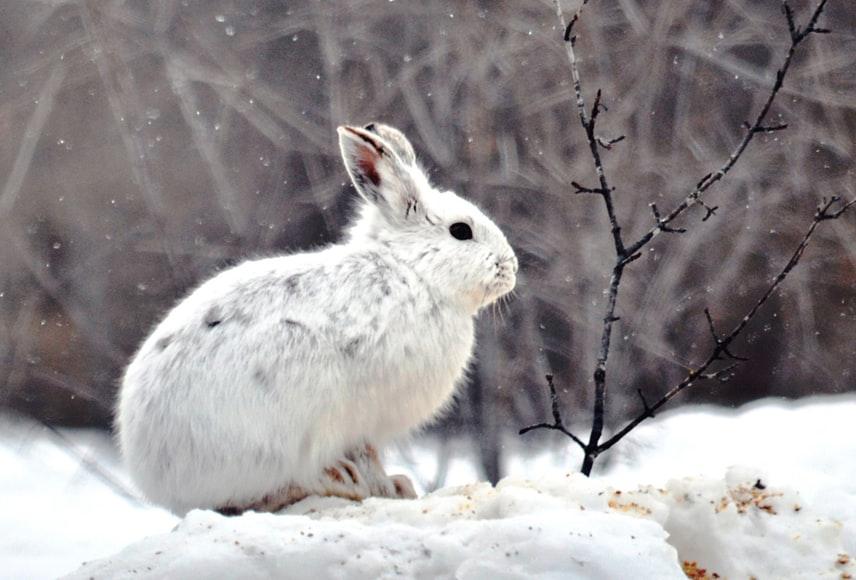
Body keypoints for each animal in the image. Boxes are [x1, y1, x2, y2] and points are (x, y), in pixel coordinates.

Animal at [116, 123, 518, 516]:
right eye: (461, 231)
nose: (511, 268)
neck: (413, 270)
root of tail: (158, 480)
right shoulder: (362, 419)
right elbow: (369, 455)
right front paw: (390, 488)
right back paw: (338, 481)